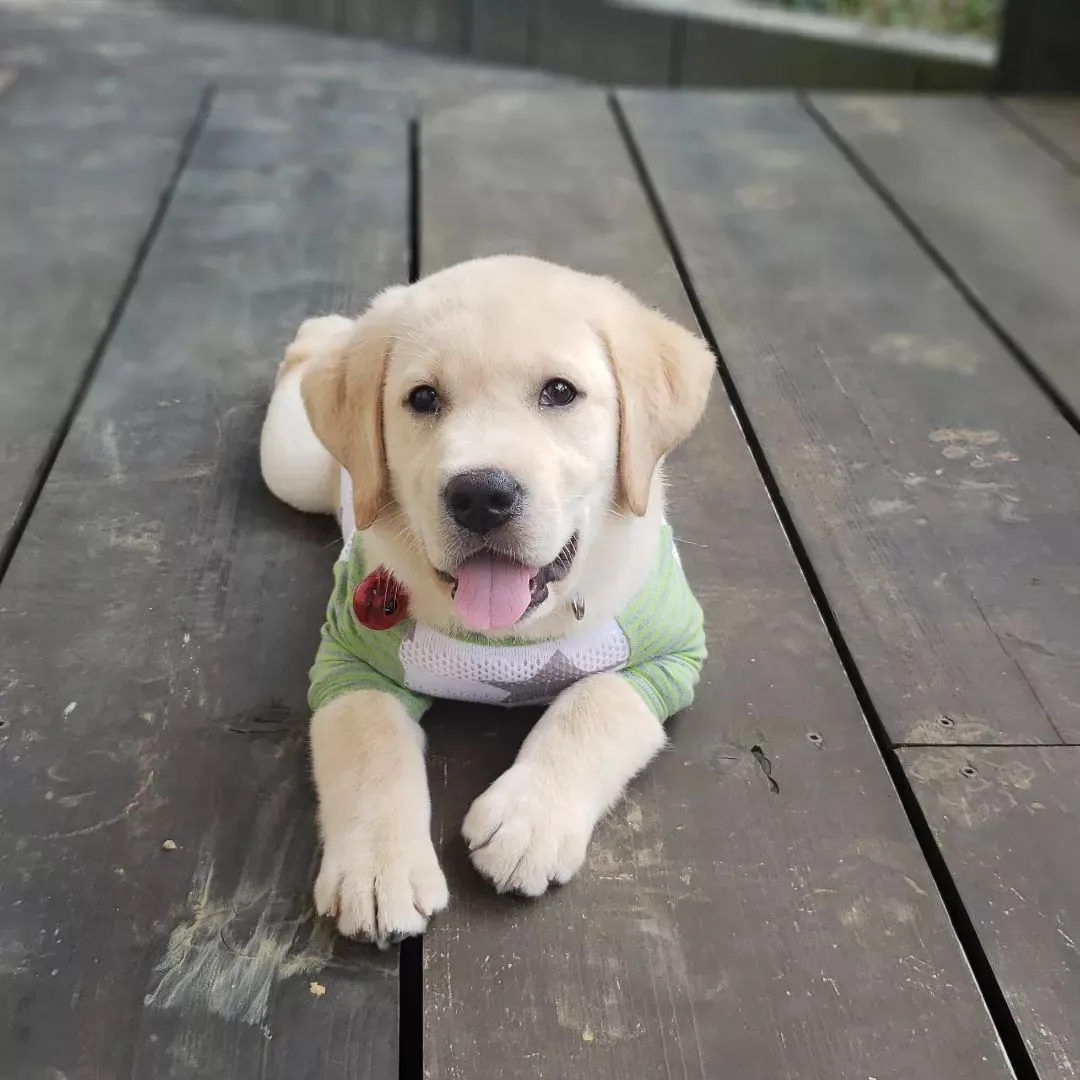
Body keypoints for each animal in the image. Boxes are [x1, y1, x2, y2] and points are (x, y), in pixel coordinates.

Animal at [259, 257, 717, 941]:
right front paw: (376, 872)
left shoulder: (672, 654)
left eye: (560, 392)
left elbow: (595, 704)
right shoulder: (348, 660)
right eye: (423, 398)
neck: (511, 635)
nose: (480, 496)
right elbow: (369, 742)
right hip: (289, 465)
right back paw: (320, 334)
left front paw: (529, 824)